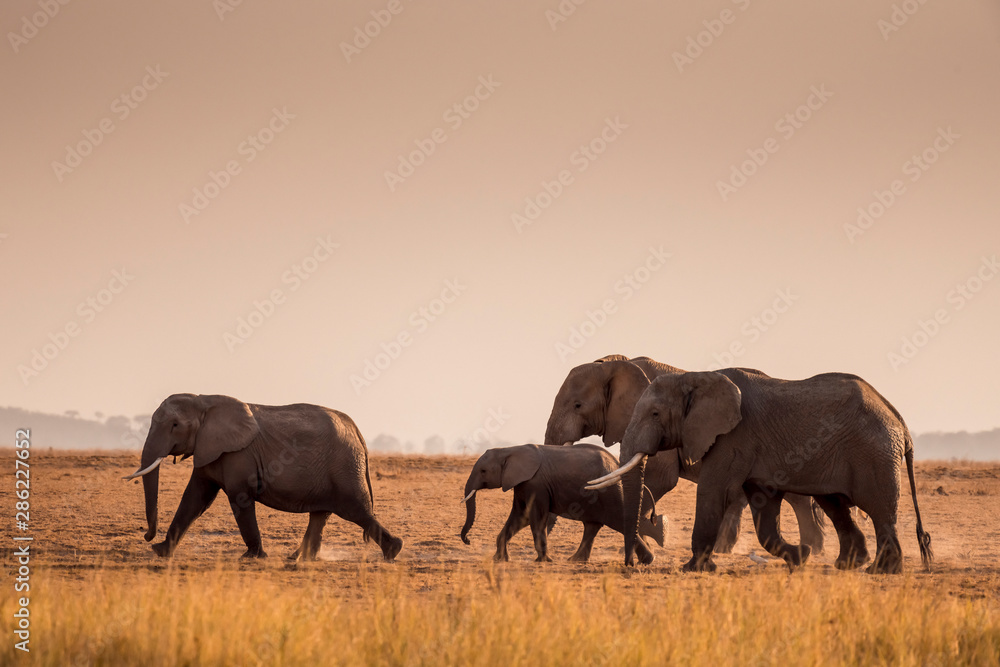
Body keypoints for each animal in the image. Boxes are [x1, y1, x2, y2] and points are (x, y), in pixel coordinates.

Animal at [122, 394, 403, 562]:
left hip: (344, 467)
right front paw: (160, 552)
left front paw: (252, 557)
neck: (204, 400)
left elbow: (239, 498)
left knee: (356, 510)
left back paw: (393, 551)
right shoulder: (209, 450)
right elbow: (194, 499)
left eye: (175, 426)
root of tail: (357, 430)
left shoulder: (238, 455)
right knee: (322, 514)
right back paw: (298, 558)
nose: (146, 536)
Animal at [460, 443, 665, 563]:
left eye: (483, 471)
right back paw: (575, 560)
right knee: (592, 526)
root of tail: (617, 464)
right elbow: (520, 517)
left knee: (619, 521)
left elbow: (536, 518)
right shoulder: (522, 484)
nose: (468, 541)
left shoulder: (537, 484)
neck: (509, 449)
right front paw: (500, 560)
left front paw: (543, 561)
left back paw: (648, 560)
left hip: (611, 491)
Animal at [590, 368, 933, 574]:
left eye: (655, 414)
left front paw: (694, 568)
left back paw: (882, 570)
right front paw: (800, 557)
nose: (632, 565)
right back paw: (849, 565)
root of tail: (900, 423)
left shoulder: (732, 438)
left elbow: (713, 491)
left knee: (879, 511)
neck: (695, 376)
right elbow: (764, 508)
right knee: (836, 505)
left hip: (873, 454)